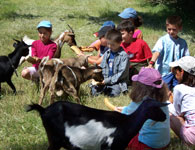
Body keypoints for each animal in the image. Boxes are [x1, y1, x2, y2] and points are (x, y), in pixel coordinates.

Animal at [26, 97, 168, 150]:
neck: (127, 122)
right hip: (55, 139)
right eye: (156, 108)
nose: (165, 117)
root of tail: (44, 110)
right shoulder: (109, 146)